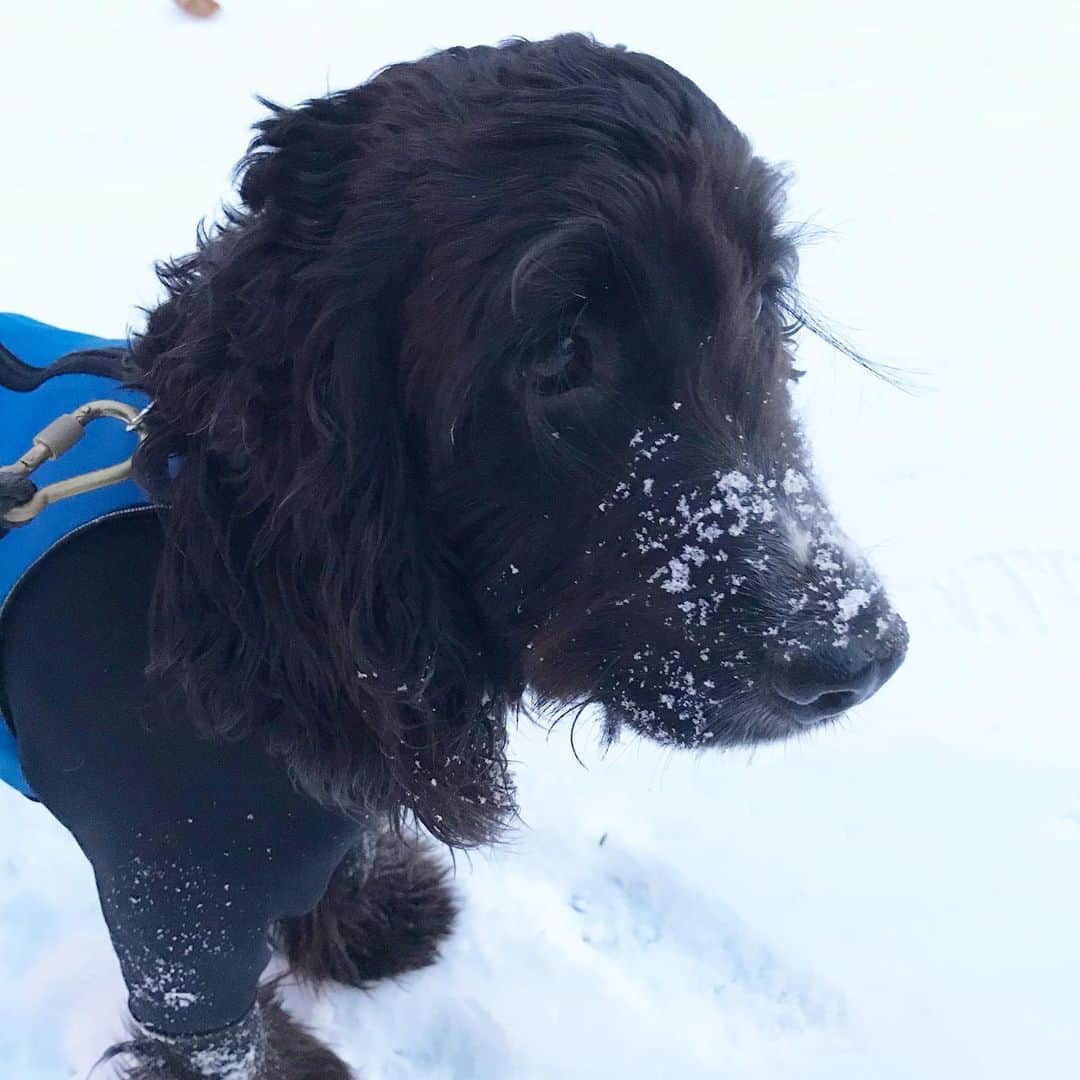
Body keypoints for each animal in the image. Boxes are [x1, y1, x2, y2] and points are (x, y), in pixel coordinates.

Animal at [0, 35, 907, 1080]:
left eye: (764, 302)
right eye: (557, 352)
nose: (861, 657)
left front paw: (361, 922)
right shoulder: (180, 912)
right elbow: (221, 1041)